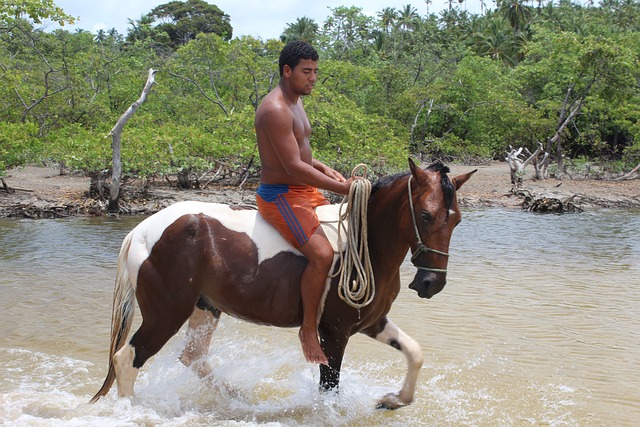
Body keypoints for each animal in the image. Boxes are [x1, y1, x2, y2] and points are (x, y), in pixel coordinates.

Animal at [92, 160, 478, 412]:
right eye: (425, 215)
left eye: (457, 219)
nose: (431, 282)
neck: (364, 244)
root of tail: (142, 230)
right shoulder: (334, 333)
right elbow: (328, 391)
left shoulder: (370, 322)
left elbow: (415, 352)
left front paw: (394, 399)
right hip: (167, 314)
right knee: (127, 358)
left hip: (205, 309)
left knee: (192, 357)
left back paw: (238, 398)